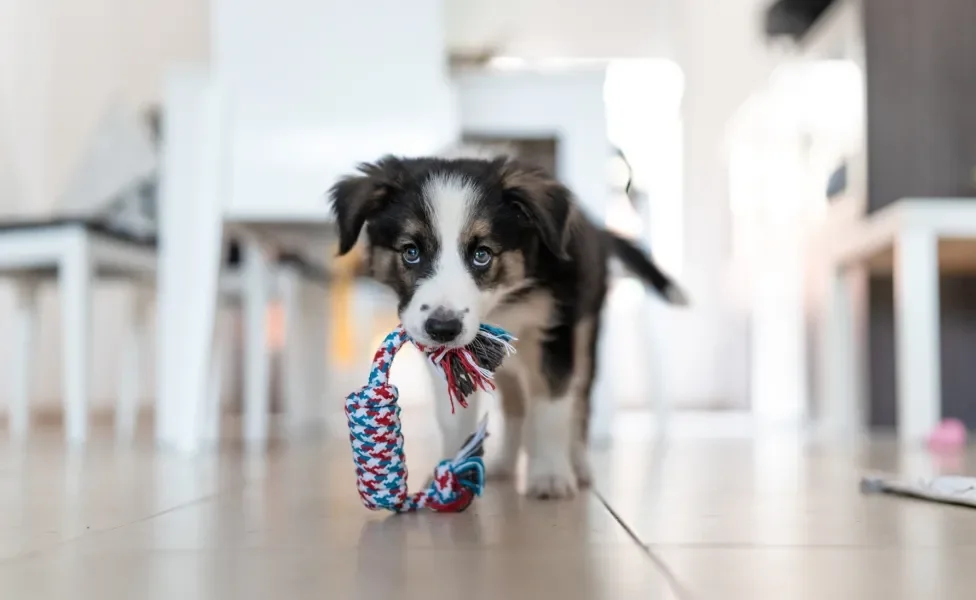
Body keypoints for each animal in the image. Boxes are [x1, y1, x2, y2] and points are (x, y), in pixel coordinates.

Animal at [332, 156, 692, 502]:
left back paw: (577, 465)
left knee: (579, 402)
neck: (502, 304)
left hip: (587, 336)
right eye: (411, 251)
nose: (443, 328)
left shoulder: (556, 333)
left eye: (482, 254)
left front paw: (549, 475)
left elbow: (551, 409)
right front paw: (451, 472)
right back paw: (505, 464)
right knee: (516, 406)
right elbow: (454, 417)